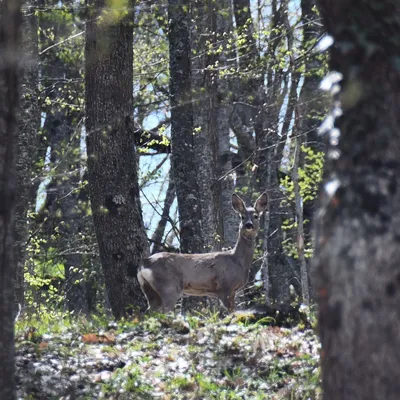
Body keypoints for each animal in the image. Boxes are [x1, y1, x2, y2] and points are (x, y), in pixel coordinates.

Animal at [138, 193, 268, 312]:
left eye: (256, 216)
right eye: (242, 216)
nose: (249, 225)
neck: (238, 260)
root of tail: (144, 263)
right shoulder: (225, 286)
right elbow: (231, 312)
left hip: (149, 289)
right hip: (169, 286)